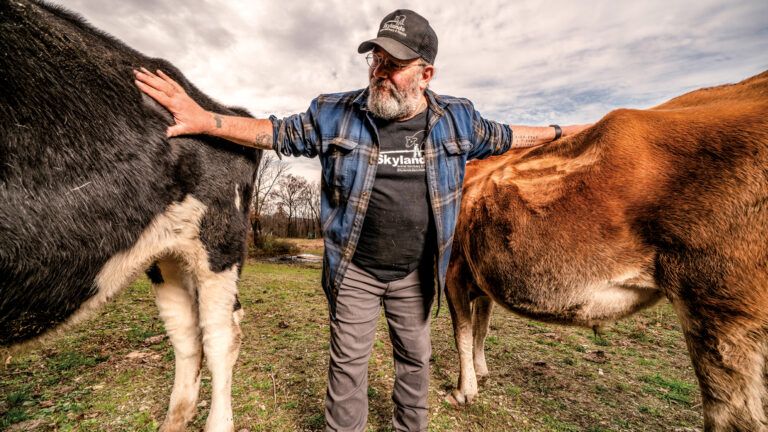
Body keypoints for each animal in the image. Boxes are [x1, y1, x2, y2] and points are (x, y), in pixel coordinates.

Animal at [448, 69, 764, 430]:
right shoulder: (480, 279)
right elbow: (480, 329)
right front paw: (481, 373)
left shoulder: (453, 270)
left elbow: (463, 331)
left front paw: (465, 391)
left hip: (719, 308)